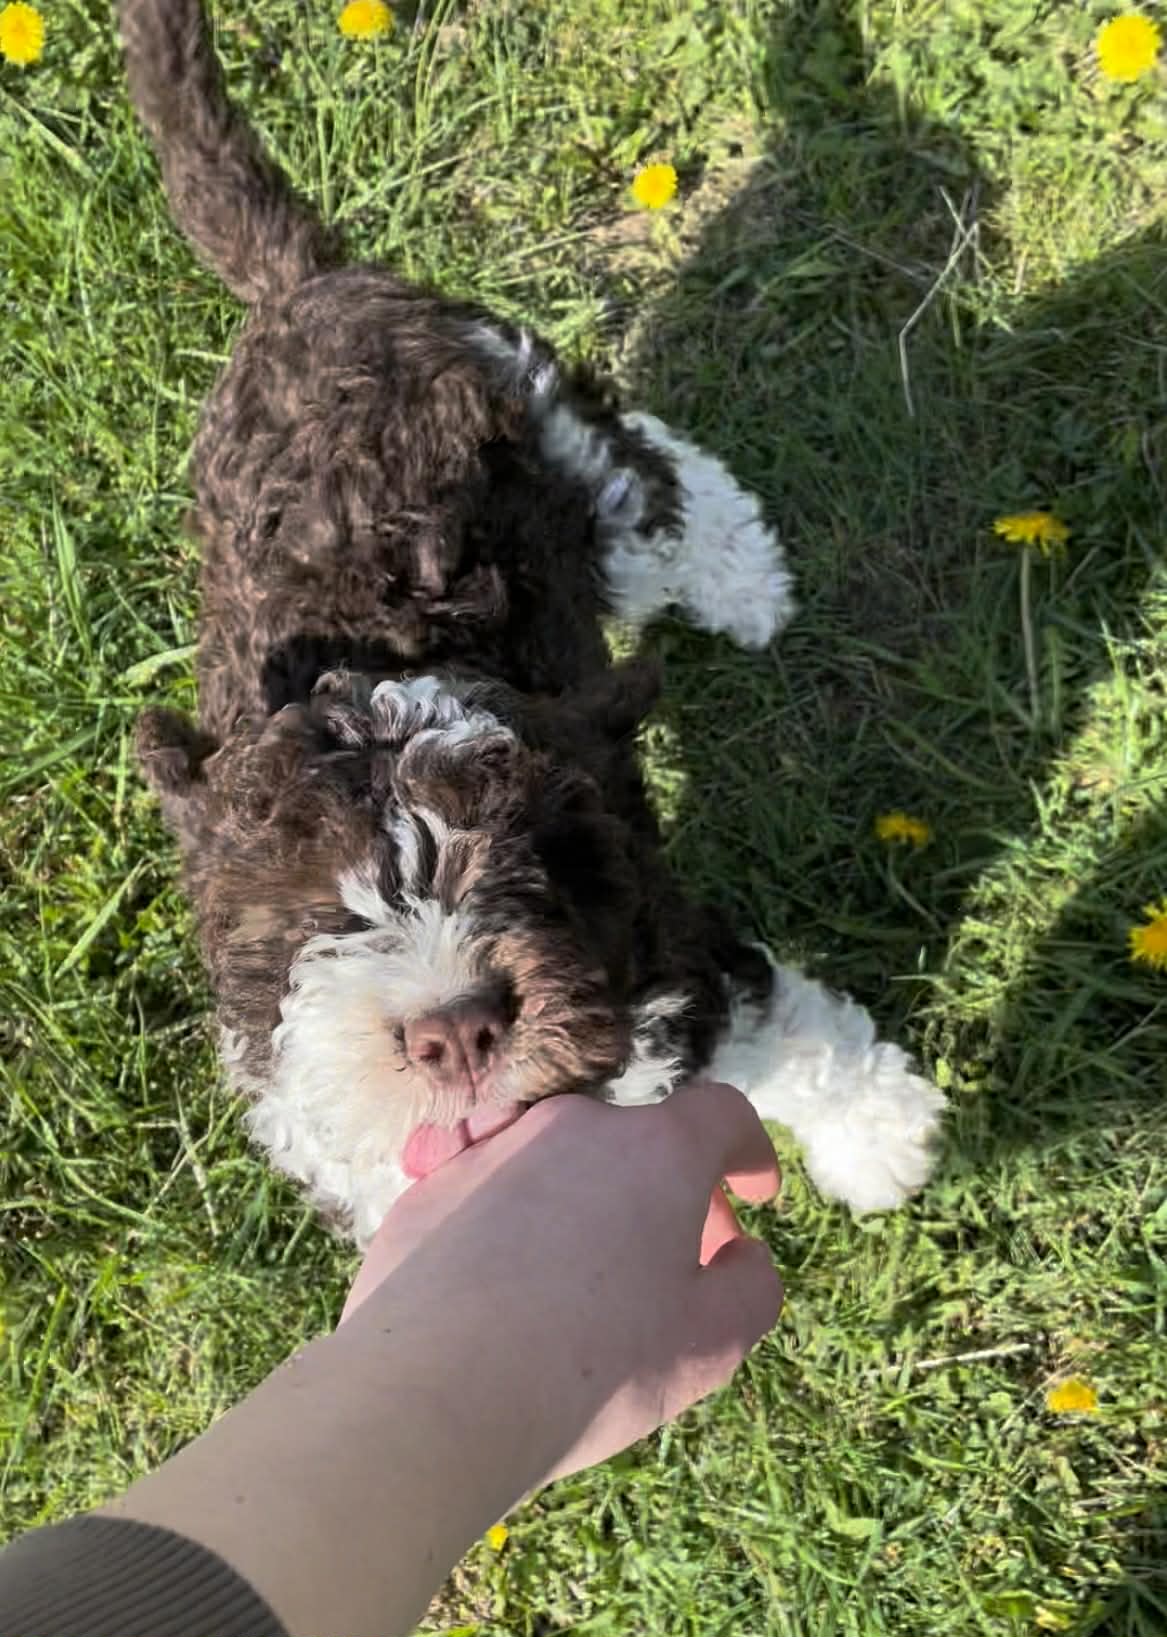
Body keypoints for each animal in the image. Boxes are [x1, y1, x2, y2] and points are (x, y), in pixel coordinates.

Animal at [120, 0, 944, 1246]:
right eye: (314, 908)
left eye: (524, 856)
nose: (452, 1028)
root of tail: (308, 291)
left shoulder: (665, 958)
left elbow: (791, 1031)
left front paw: (881, 1137)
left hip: (551, 421)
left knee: (656, 480)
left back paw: (745, 583)